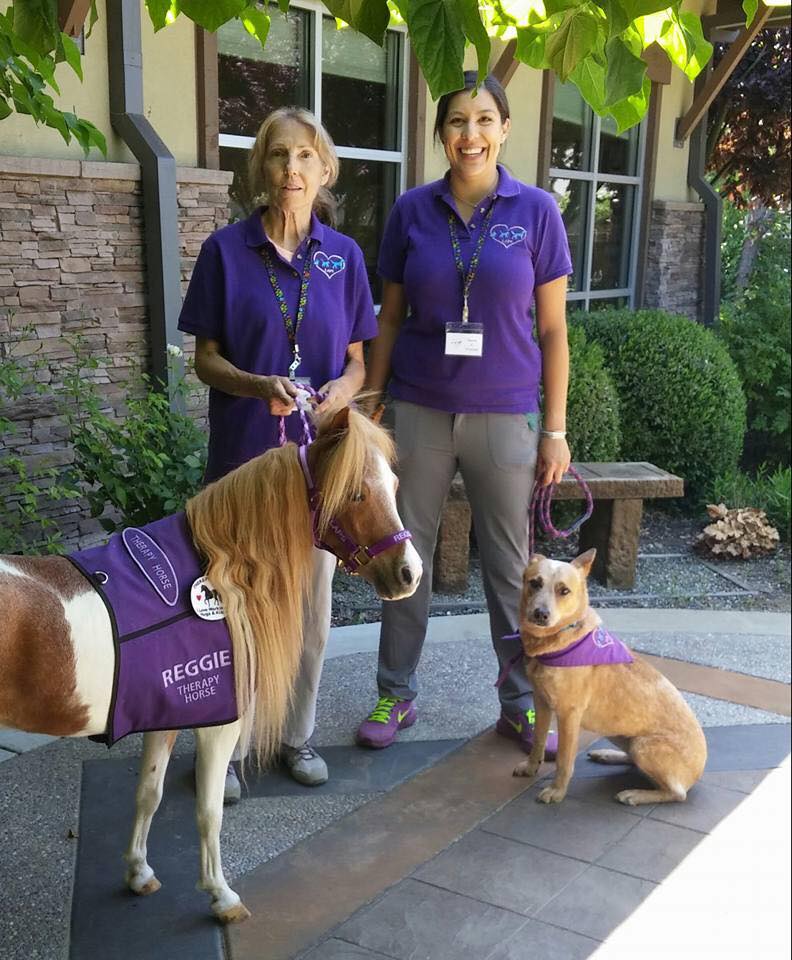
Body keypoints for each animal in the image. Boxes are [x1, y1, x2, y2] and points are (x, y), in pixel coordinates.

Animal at [510, 548, 708, 804]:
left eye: (564, 590)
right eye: (535, 583)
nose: (540, 614)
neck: (562, 642)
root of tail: (699, 770)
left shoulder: (568, 714)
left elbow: (564, 760)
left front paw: (557, 791)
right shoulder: (541, 702)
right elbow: (538, 740)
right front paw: (531, 767)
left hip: (644, 746)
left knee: (676, 793)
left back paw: (635, 794)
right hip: (624, 737)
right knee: (634, 761)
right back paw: (609, 755)